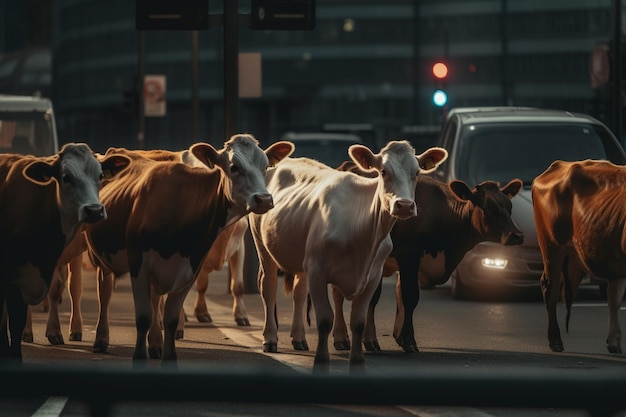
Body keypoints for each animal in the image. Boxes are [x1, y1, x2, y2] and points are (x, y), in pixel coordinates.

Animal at [0, 144, 129, 360]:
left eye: (100, 176)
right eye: (66, 177)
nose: (95, 210)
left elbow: (102, 291)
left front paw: (102, 337)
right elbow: (54, 289)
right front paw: (53, 331)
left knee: (74, 287)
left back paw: (75, 328)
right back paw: (28, 331)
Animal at [246, 141, 446, 368]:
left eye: (417, 172)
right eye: (383, 172)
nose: (404, 205)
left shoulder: (372, 277)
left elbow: (358, 322)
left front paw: (357, 359)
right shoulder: (317, 272)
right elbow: (325, 320)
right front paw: (321, 358)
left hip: (300, 255)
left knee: (299, 292)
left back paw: (299, 338)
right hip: (263, 246)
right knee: (268, 288)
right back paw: (270, 338)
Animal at [532, 158, 624, 352]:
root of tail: (560, 164)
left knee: (613, 294)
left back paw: (614, 342)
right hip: (551, 245)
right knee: (550, 287)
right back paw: (555, 340)